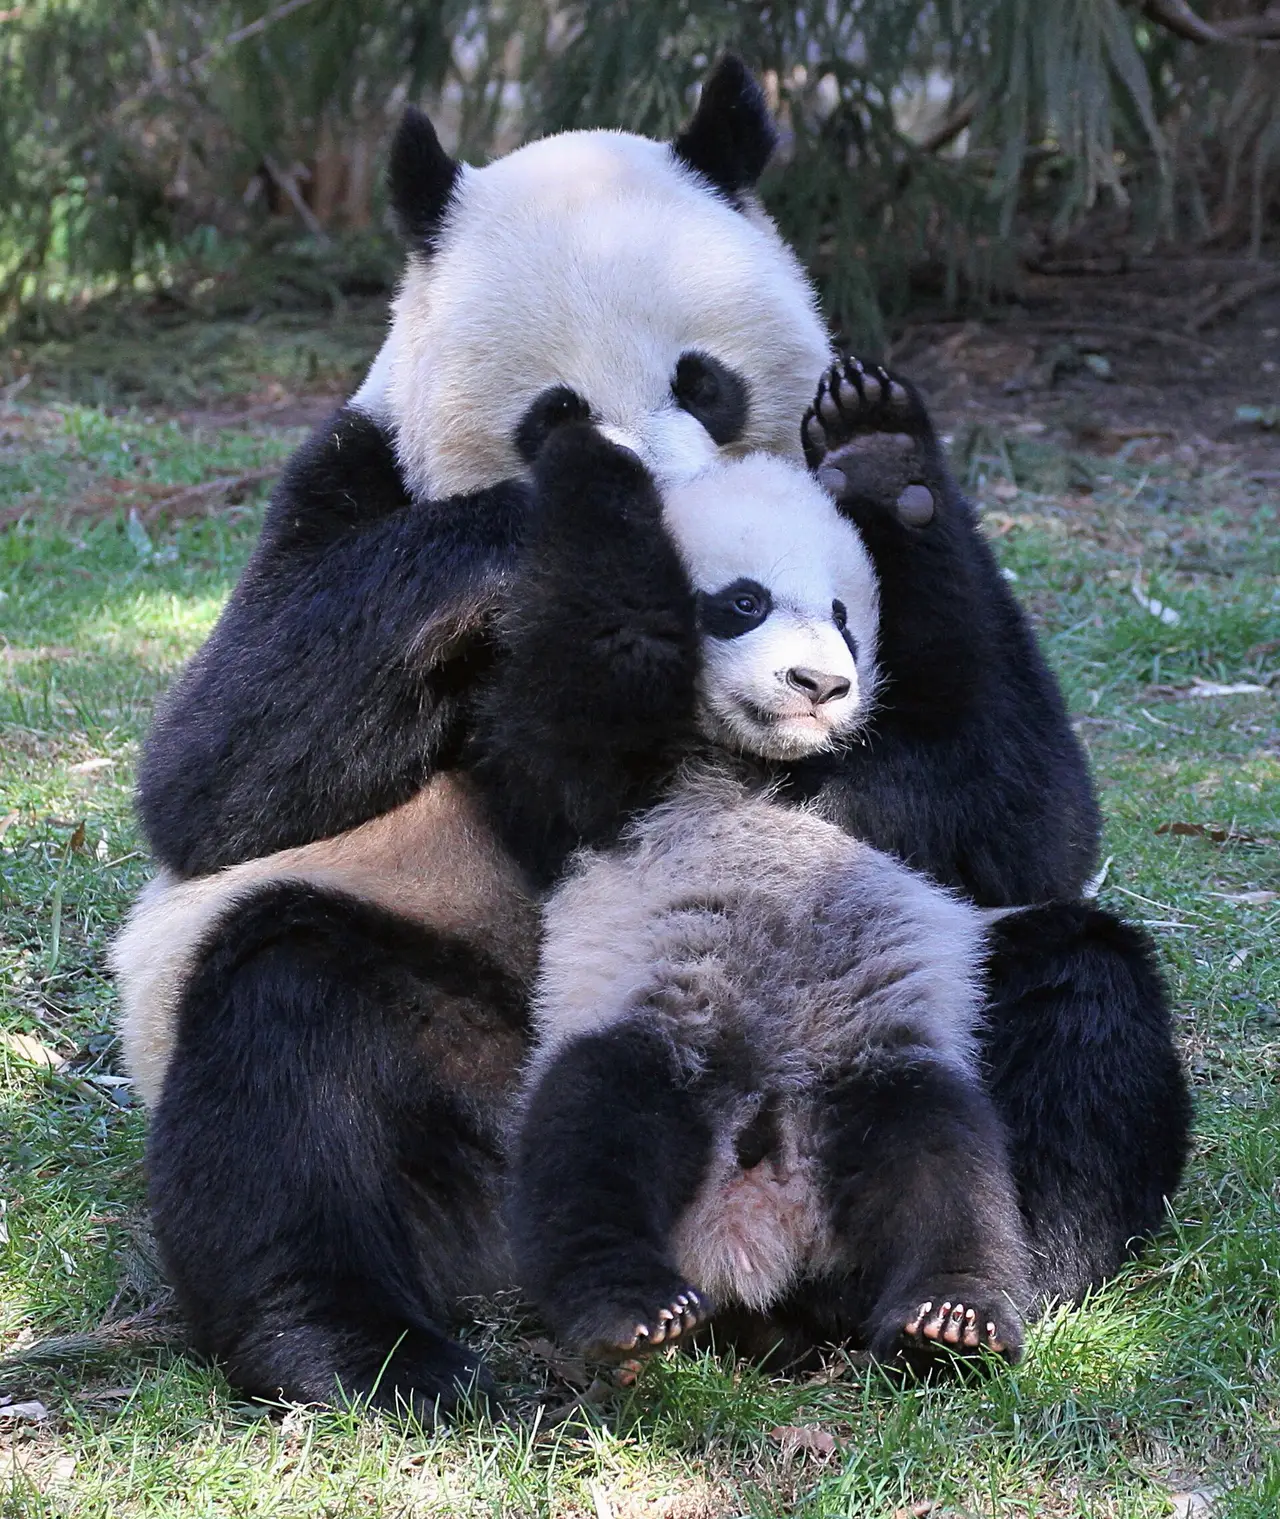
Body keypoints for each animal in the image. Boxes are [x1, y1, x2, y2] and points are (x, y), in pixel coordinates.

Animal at [505, 434, 1033, 1369]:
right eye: (743, 603)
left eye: (845, 616)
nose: (819, 683)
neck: (764, 766)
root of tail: (756, 1221)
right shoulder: (604, 784)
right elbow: (591, 673)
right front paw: (590, 447)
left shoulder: (910, 796)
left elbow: (1018, 814)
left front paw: (892, 461)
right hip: (662, 1030)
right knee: (590, 1125)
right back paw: (631, 1307)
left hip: (873, 1059)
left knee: (946, 1160)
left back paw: (950, 1314)